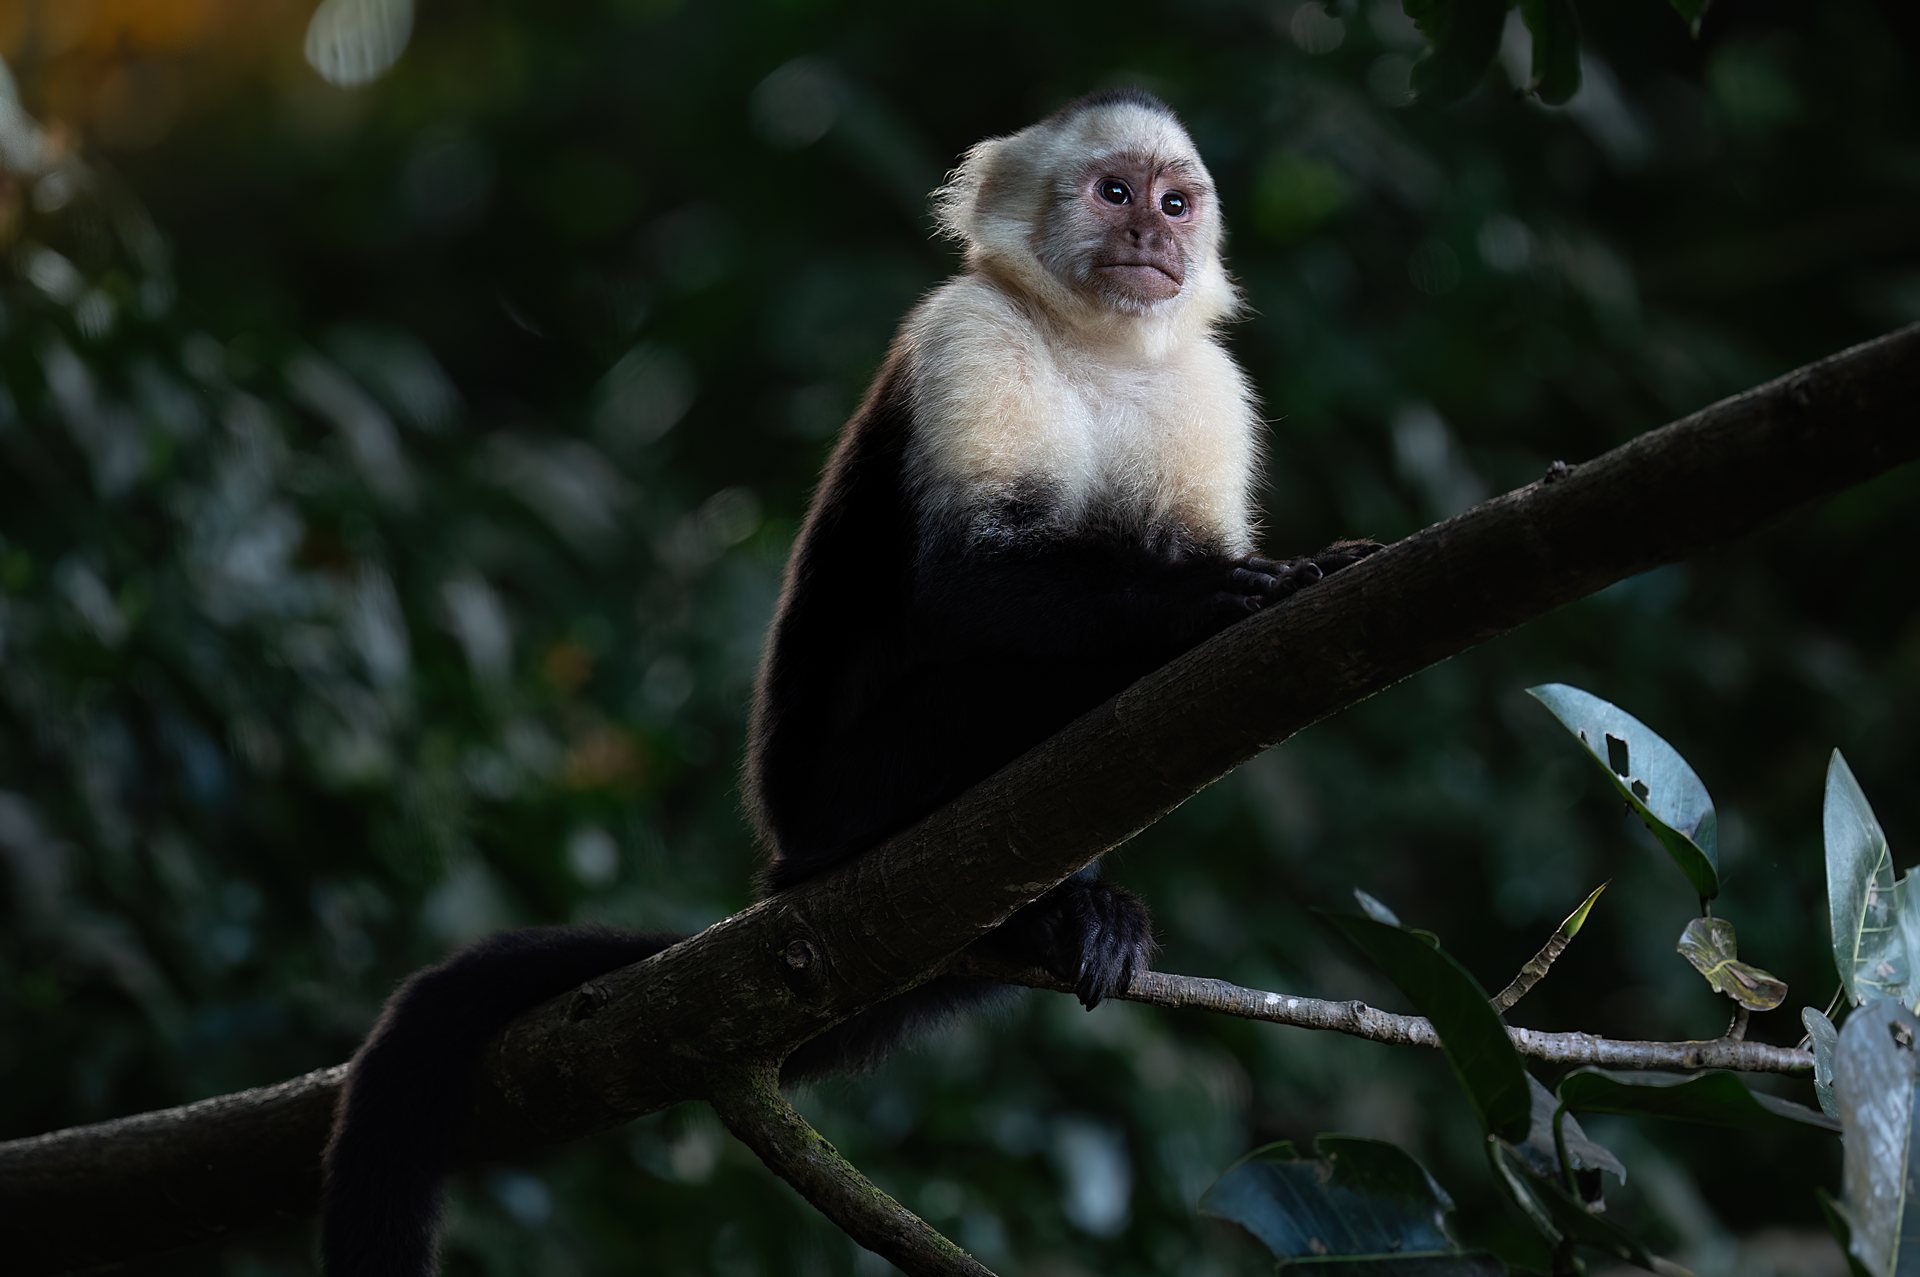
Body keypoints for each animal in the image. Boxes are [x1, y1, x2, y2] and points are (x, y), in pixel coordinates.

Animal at [320, 88, 1377, 1275]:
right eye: (1115, 192)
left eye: (1176, 200)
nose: (1155, 235)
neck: (1094, 344)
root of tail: (791, 857)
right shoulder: (968, 333)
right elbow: (972, 589)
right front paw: (1232, 594)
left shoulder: (1207, 389)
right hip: (855, 784)